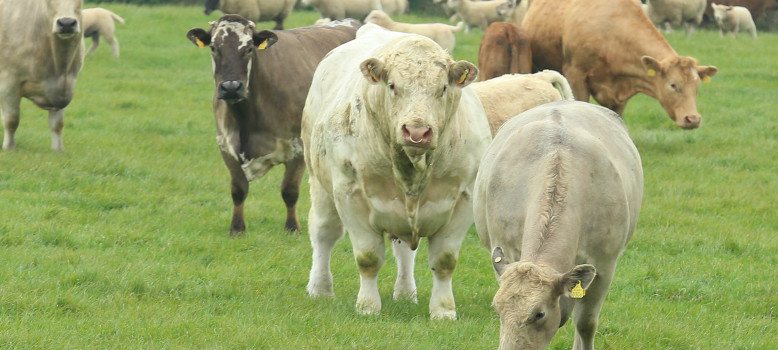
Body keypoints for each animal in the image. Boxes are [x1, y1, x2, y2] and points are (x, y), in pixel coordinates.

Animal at [186, 16, 360, 235]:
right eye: (214, 47)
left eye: (248, 48)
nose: (231, 87)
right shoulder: (225, 145)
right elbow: (238, 189)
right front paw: (237, 228)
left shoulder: (298, 147)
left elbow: (289, 190)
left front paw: (292, 228)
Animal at [304, 23, 492, 320]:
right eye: (392, 86)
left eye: (442, 88)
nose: (417, 131)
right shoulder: (350, 195)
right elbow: (367, 257)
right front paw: (368, 306)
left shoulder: (464, 197)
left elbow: (445, 261)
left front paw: (443, 310)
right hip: (320, 185)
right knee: (324, 234)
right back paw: (320, 288)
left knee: (404, 252)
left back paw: (406, 293)